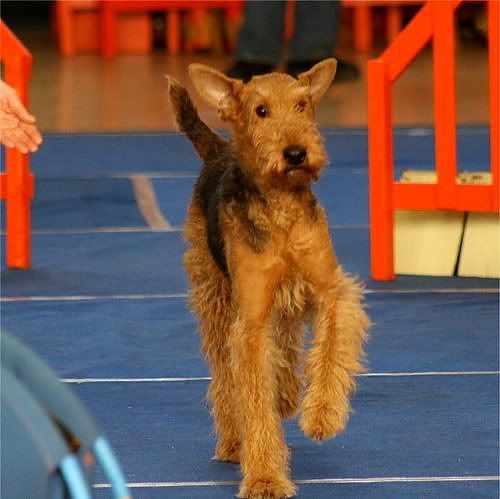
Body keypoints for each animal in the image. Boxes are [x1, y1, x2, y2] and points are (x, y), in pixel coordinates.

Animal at [166, 59, 370, 498]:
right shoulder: (252, 322)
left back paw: (290, 396)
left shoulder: (330, 290)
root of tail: (219, 150)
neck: (281, 210)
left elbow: (329, 351)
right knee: (225, 380)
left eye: (302, 105)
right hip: (215, 297)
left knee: (289, 345)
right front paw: (264, 478)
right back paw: (233, 442)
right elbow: (255, 400)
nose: (296, 153)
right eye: (261, 111)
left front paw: (322, 416)